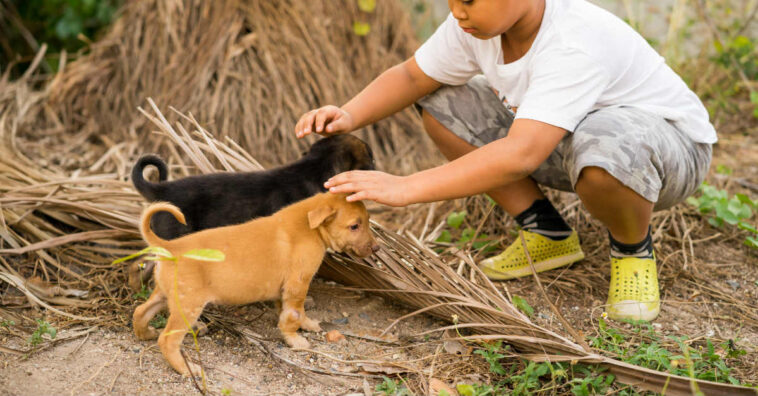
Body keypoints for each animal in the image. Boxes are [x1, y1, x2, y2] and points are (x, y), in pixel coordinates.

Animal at [134, 193, 380, 376]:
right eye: (354, 226)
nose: (376, 248)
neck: (309, 226)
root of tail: (170, 247)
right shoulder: (297, 284)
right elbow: (293, 315)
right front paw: (295, 340)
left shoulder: (285, 290)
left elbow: (294, 313)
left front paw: (307, 325)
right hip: (187, 306)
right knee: (167, 340)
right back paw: (187, 369)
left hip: (165, 295)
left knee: (140, 312)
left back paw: (145, 333)